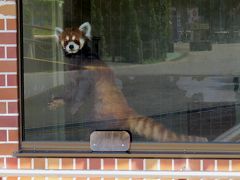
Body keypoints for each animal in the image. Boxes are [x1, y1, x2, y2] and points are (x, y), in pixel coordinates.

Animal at [49, 21, 207, 142]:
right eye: (66, 40)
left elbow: (81, 92)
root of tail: (127, 109)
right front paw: (59, 100)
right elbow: (70, 90)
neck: (77, 58)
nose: (71, 46)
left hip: (105, 114)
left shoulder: (88, 72)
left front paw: (74, 107)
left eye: (76, 40)